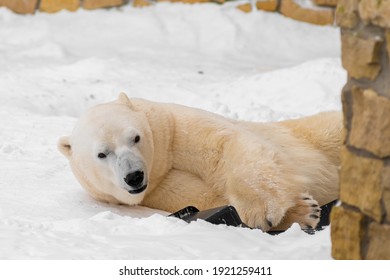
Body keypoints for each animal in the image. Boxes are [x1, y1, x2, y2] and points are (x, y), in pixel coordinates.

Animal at [58, 94, 342, 232]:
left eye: (136, 137)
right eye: (102, 154)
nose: (134, 176)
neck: (160, 163)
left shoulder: (174, 129)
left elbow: (225, 146)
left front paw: (265, 211)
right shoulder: (160, 188)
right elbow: (206, 198)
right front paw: (304, 212)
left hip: (313, 135)